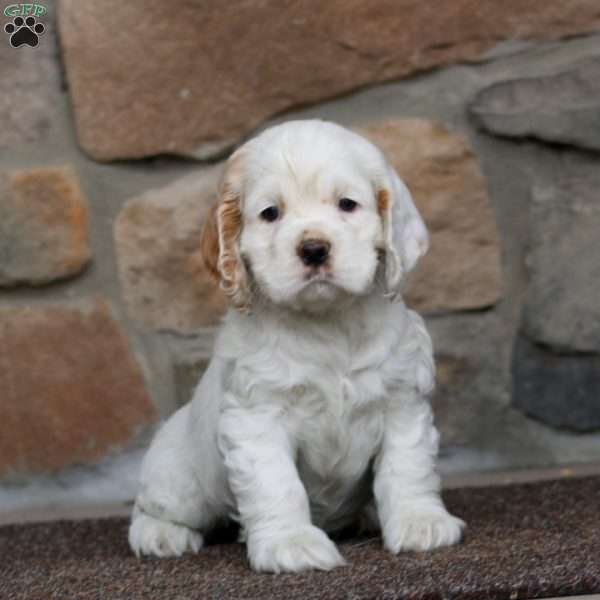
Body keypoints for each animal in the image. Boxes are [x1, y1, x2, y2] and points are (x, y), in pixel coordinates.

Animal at [127, 119, 464, 576]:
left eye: (347, 204)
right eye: (271, 213)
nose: (314, 248)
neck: (327, 324)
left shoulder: (402, 403)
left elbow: (406, 467)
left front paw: (421, 522)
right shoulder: (258, 417)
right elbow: (277, 483)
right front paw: (291, 544)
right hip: (180, 479)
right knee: (153, 505)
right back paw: (160, 534)